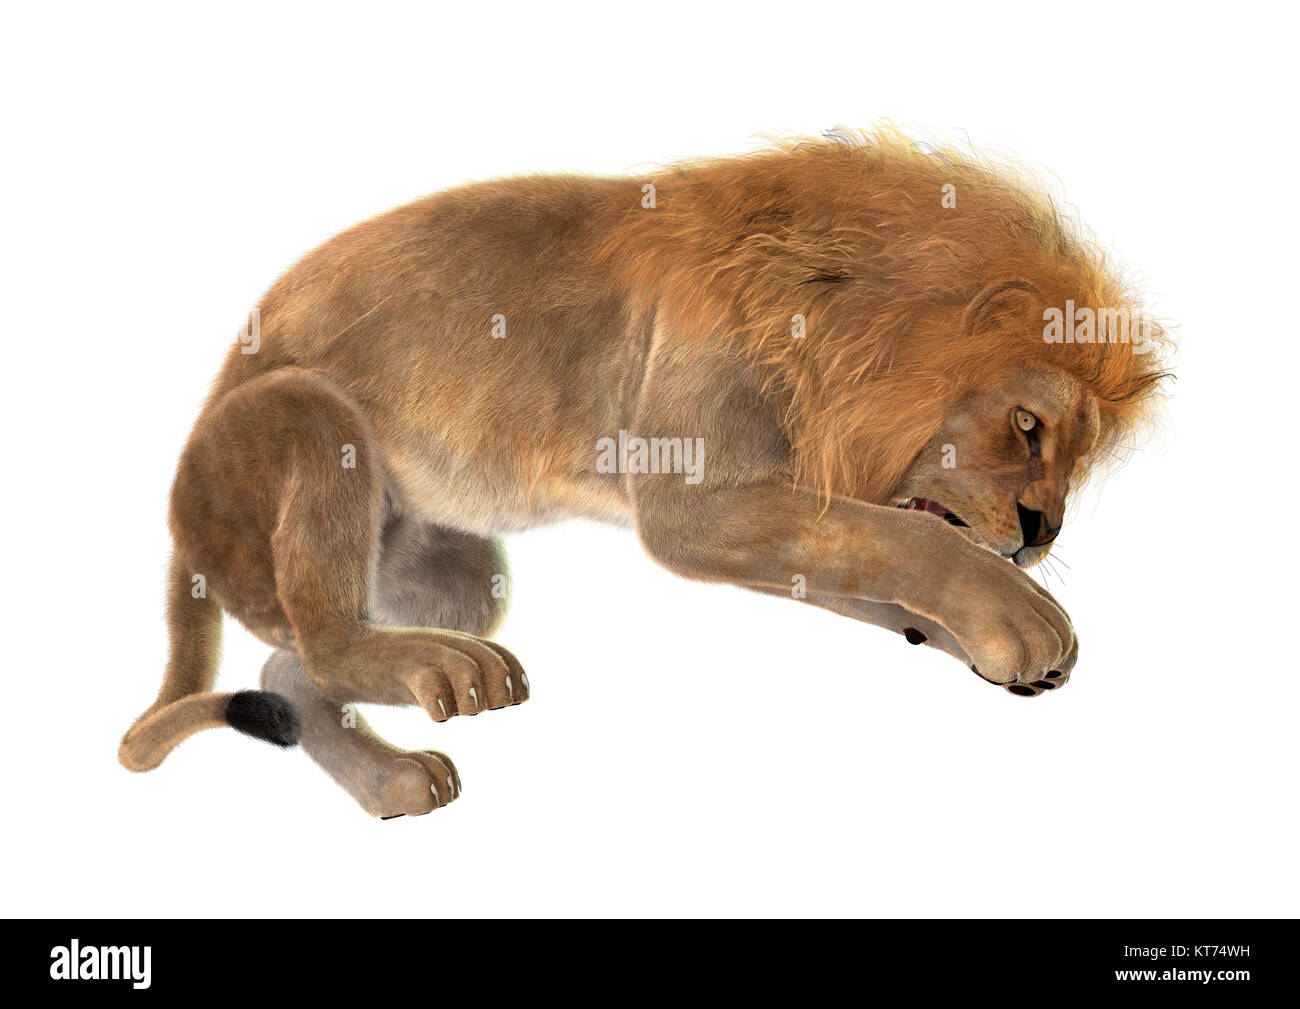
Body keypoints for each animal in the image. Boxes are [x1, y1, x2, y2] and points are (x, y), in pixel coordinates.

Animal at [120, 128, 1172, 817]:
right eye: (1028, 427)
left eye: (1079, 457)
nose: (1043, 532)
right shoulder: (693, 502)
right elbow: (898, 535)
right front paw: (1024, 621)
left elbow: (875, 561)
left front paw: (989, 638)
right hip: (308, 415)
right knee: (327, 639)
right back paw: (441, 670)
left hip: (459, 569)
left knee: (286, 661)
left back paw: (394, 780)